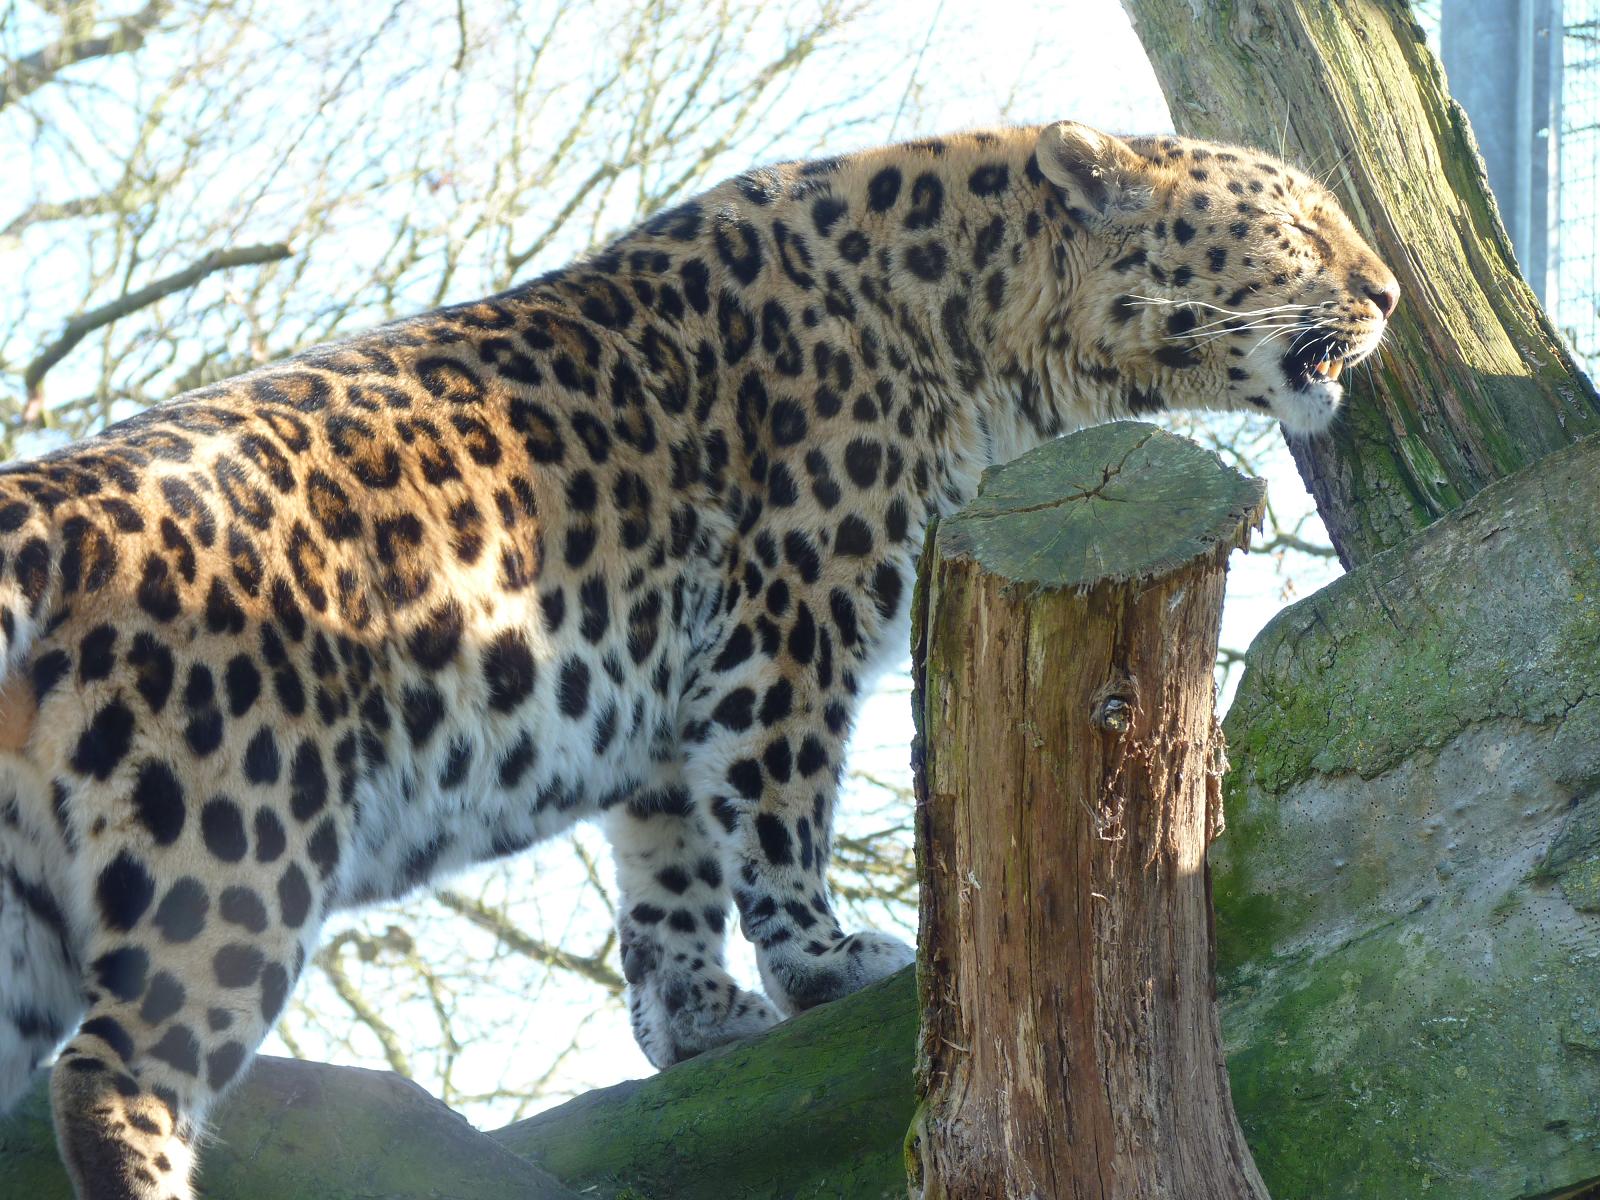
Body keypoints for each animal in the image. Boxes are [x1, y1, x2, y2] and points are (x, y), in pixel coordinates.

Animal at [0, 120, 1397, 1200]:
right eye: (1298, 222)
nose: (1386, 292)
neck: (994, 326)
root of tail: (44, 509)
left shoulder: (666, 701)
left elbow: (667, 863)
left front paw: (698, 1019)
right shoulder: (791, 616)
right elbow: (777, 807)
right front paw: (825, 962)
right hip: (233, 839)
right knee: (114, 1077)